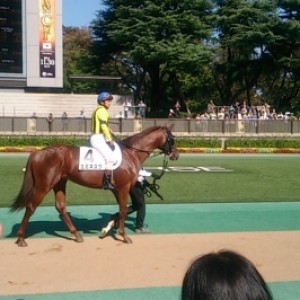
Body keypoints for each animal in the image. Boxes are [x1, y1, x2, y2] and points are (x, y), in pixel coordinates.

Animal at [11, 125, 179, 247]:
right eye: (172, 139)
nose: (176, 155)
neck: (130, 153)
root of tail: (37, 153)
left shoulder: (117, 189)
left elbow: (123, 210)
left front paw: (108, 228)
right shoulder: (123, 188)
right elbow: (123, 211)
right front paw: (124, 236)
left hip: (59, 183)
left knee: (60, 206)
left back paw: (76, 234)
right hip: (44, 185)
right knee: (31, 206)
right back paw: (21, 238)